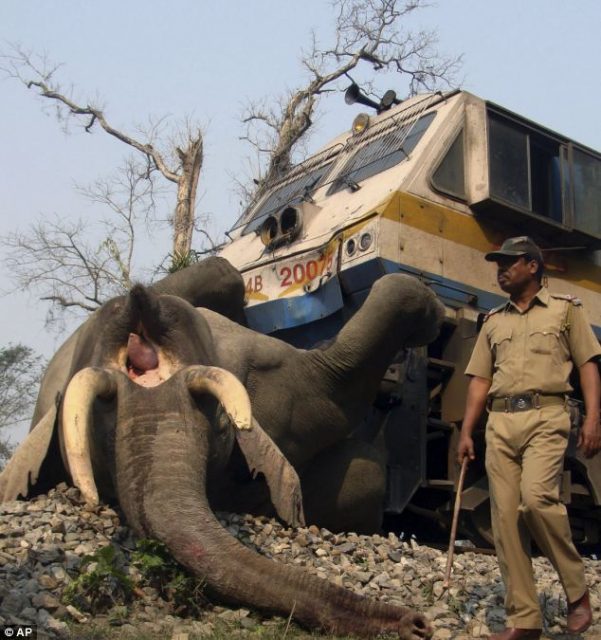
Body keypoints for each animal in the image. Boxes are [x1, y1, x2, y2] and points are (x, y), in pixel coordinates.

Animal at [0, 260, 443, 639]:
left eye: (212, 411)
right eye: (97, 424)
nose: (417, 624)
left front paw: (433, 316)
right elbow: (335, 390)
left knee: (223, 271)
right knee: (367, 476)